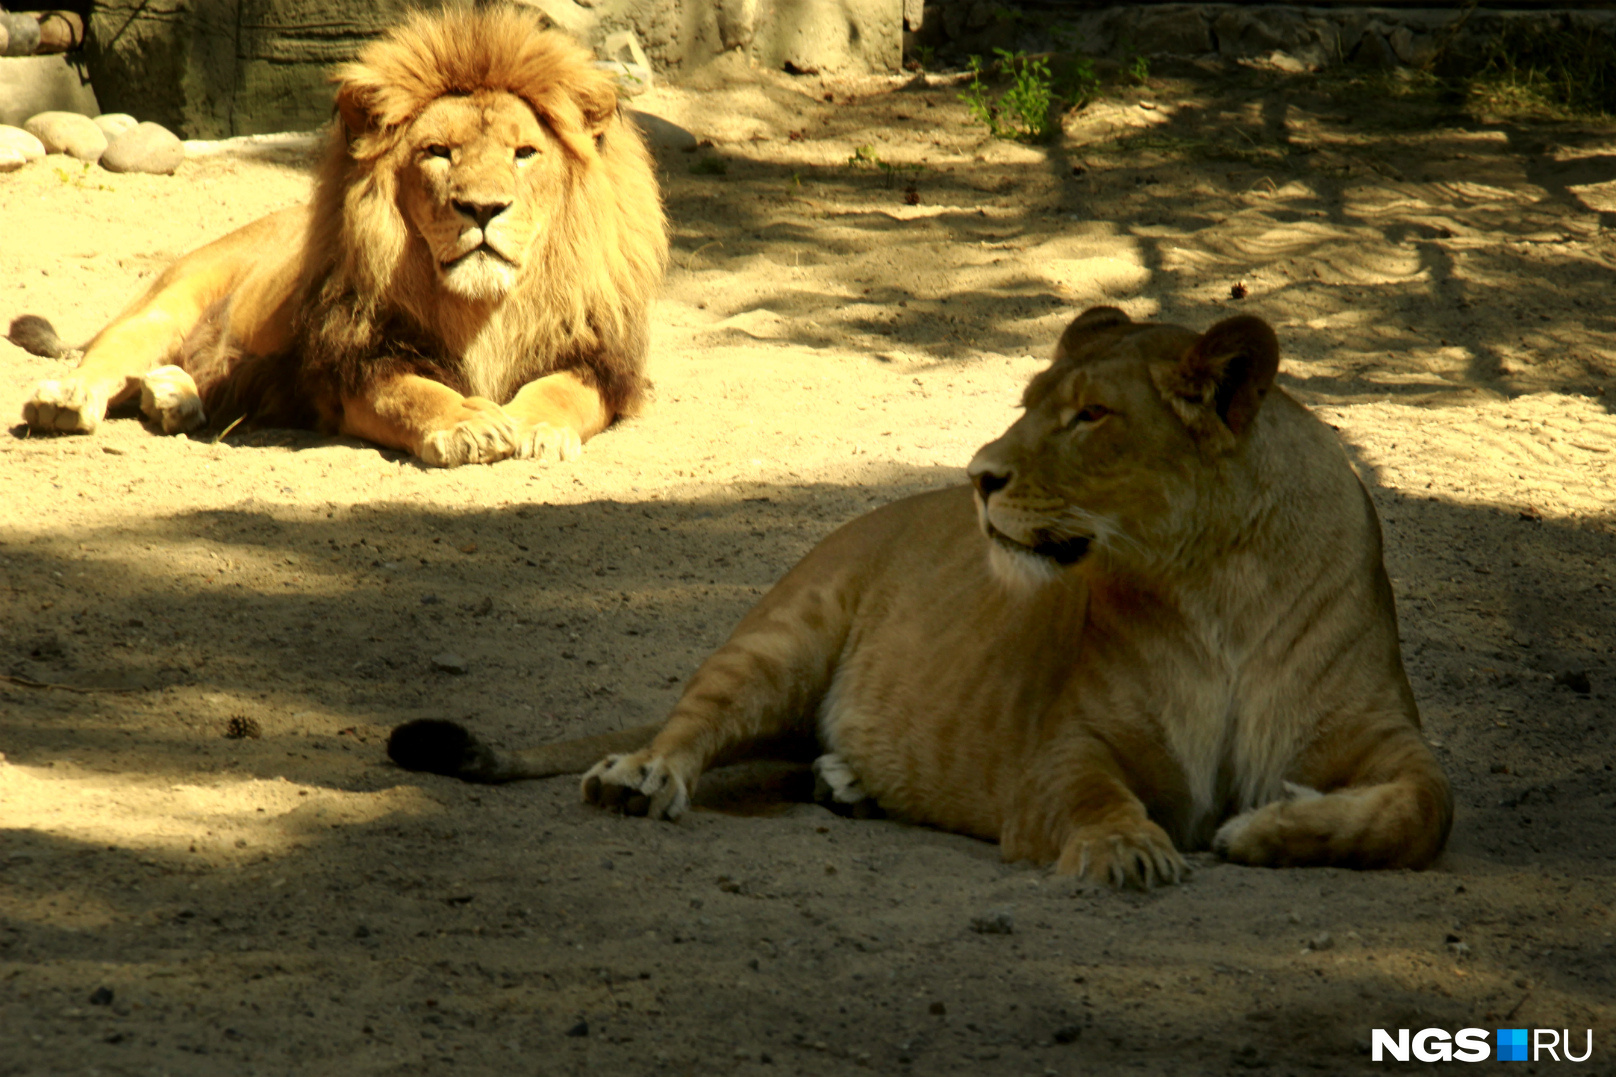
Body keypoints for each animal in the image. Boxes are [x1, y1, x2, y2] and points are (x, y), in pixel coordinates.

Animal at [9, 5, 665, 465]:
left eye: (524, 153)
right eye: (438, 152)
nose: (481, 209)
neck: (485, 308)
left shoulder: (599, 362)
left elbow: (562, 392)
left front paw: (532, 425)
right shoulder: (357, 364)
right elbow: (416, 394)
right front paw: (469, 424)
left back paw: (174, 397)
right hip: (168, 302)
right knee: (107, 355)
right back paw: (67, 401)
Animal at [387, 305, 1454, 886]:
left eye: (1091, 416)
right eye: (1029, 402)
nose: (978, 477)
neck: (1217, 587)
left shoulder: (1386, 734)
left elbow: (1421, 807)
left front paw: (1269, 826)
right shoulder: (1061, 749)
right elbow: (1094, 795)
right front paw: (1130, 851)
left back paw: (848, 780)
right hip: (786, 631)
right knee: (688, 727)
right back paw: (638, 777)